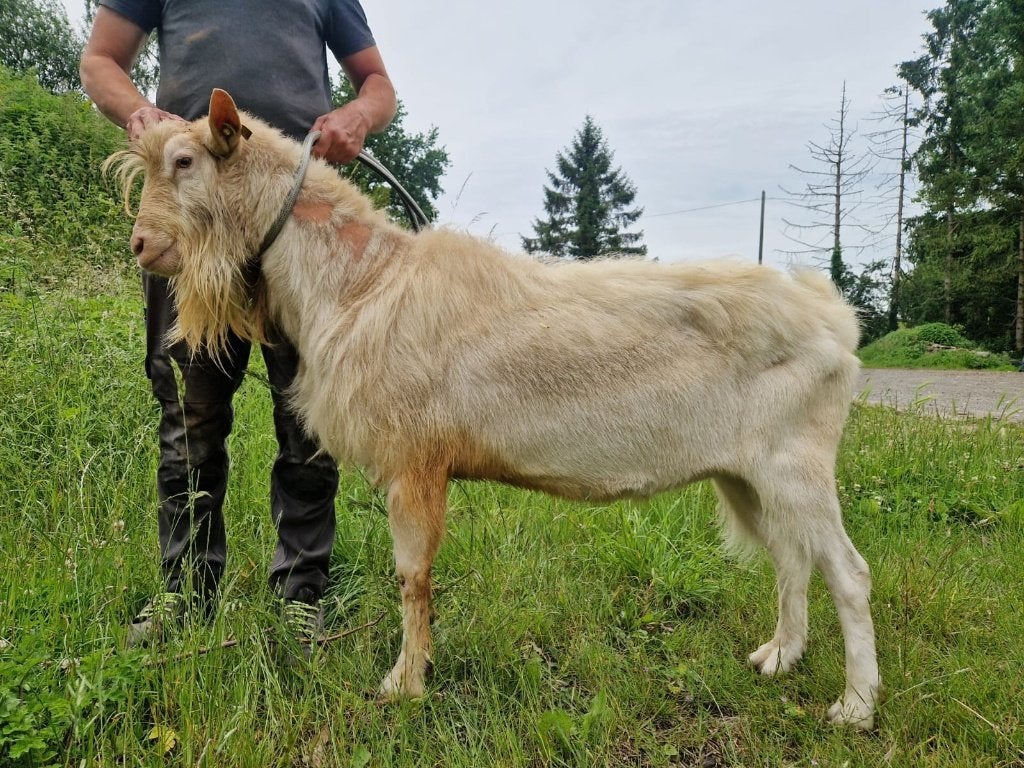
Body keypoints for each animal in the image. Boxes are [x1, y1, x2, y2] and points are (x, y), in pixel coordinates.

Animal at [107, 88, 880, 729]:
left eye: (184, 160)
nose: (142, 244)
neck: (361, 280)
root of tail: (836, 322)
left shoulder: (415, 462)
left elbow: (412, 576)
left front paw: (404, 684)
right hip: (747, 472)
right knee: (790, 558)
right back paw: (778, 657)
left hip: (796, 464)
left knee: (847, 571)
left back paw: (855, 706)